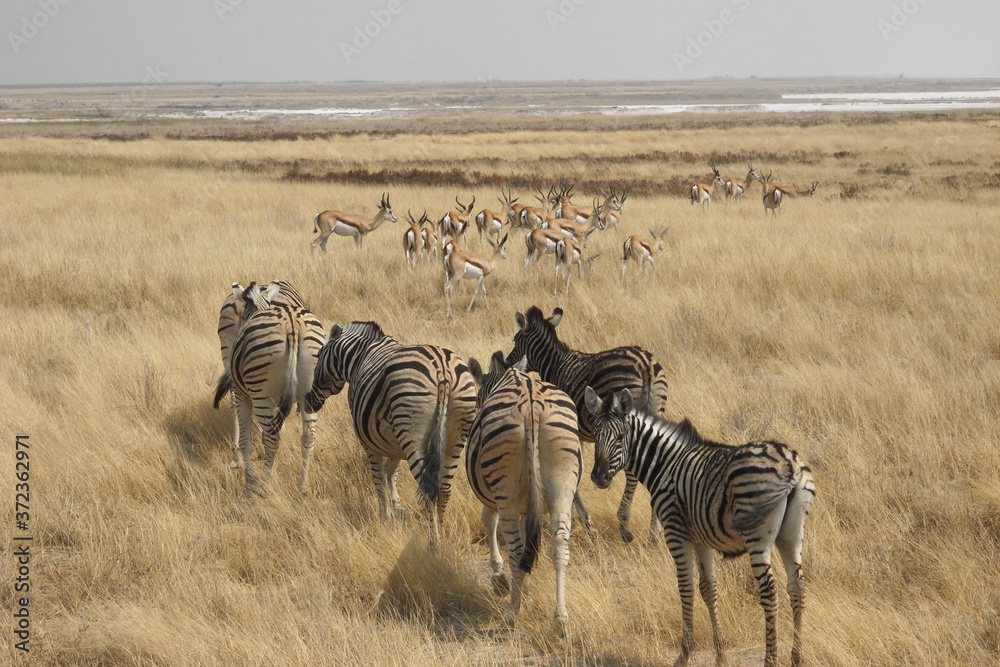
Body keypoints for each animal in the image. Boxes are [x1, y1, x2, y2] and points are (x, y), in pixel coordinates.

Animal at [303, 321, 477, 546]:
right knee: (445, 487)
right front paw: (396, 507)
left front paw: (384, 514)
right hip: (455, 435)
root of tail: (442, 371)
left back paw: (434, 541)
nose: (308, 402)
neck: (359, 354)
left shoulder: (368, 439)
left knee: (427, 488)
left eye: (319, 355)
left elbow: (378, 476)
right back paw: (444, 532)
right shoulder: (394, 441)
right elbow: (391, 472)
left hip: (413, 431)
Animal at [466, 352, 582, 631]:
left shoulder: (494, 499)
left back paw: (511, 614)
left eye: (478, 398)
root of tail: (532, 406)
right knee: (559, 544)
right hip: (563, 481)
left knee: (517, 550)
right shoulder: (527, 504)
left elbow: (489, 521)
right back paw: (560, 618)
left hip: (505, 489)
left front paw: (500, 580)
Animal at [505, 305, 670, 542]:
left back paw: (625, 525)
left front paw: (580, 519)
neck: (554, 363)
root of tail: (646, 365)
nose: (507, 364)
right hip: (656, 409)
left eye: (515, 340)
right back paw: (655, 529)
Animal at [584, 387, 816, 667]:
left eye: (619, 438)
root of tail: (789, 463)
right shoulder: (701, 538)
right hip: (792, 534)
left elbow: (686, 588)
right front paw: (721, 655)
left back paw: (770, 659)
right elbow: (709, 590)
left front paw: (684, 654)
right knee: (797, 588)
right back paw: (796, 657)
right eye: (595, 435)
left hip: (758, 535)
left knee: (770, 591)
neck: (665, 464)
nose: (599, 477)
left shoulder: (675, 532)